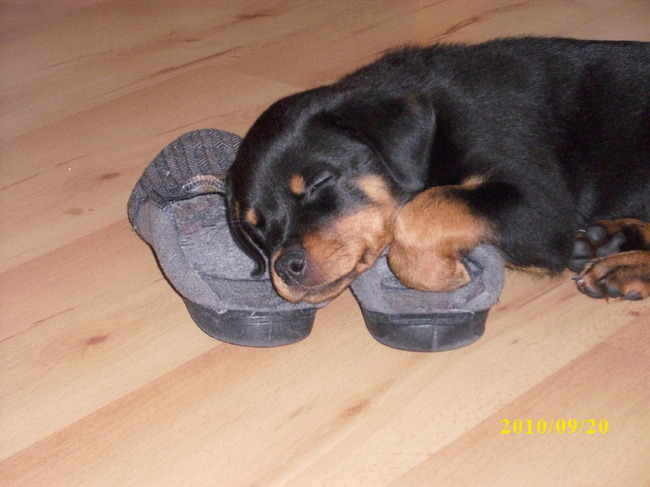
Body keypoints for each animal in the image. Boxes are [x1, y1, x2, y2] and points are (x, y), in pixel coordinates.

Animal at [226, 37, 650, 304]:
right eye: (254, 229)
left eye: (319, 182)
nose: (286, 268)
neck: (436, 127)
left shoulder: (540, 202)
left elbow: (422, 212)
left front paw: (443, 276)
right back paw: (607, 243)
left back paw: (621, 264)